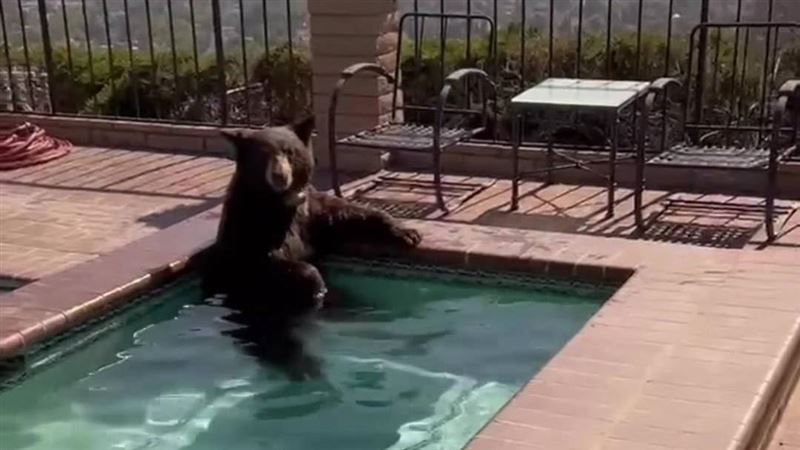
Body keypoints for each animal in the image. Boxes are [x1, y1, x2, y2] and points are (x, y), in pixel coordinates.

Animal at [201, 115, 422, 321]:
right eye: (263, 154)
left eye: (290, 152)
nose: (279, 175)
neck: (280, 201)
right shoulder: (249, 223)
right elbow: (263, 262)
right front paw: (315, 282)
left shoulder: (310, 212)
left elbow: (344, 214)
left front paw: (408, 233)